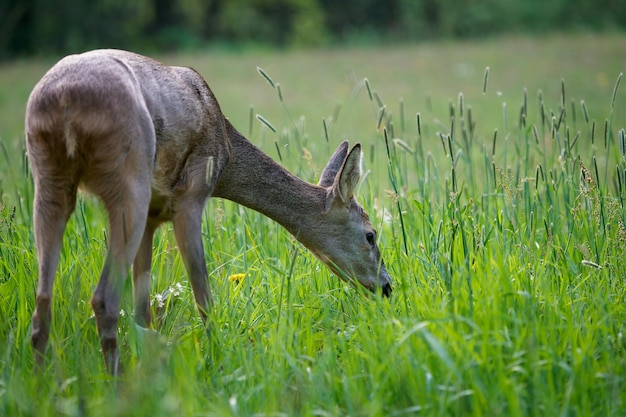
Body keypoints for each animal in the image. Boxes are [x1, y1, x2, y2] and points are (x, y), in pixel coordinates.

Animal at [26, 49, 392, 374]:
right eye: (371, 235)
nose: (387, 286)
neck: (227, 151)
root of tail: (64, 99)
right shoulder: (191, 194)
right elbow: (203, 297)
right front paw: (219, 360)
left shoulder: (153, 217)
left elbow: (143, 313)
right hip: (129, 182)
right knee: (104, 299)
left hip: (49, 178)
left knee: (43, 301)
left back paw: (43, 386)